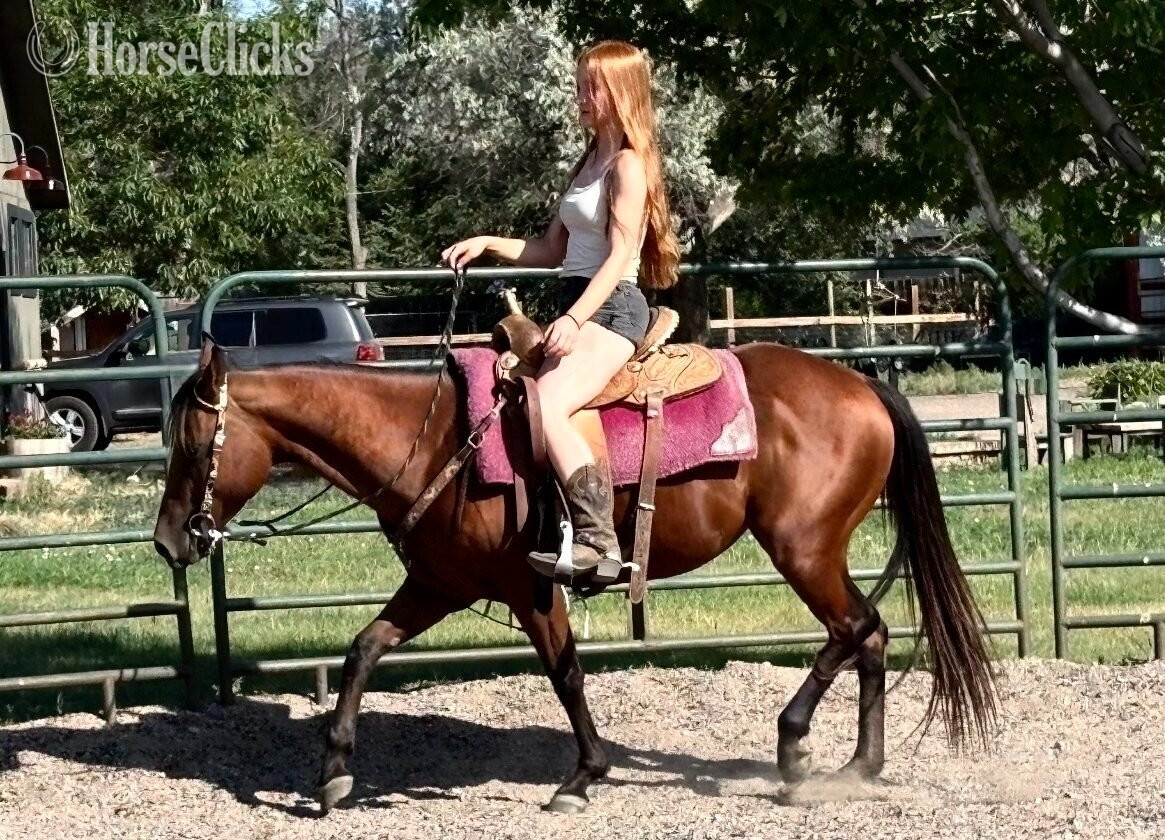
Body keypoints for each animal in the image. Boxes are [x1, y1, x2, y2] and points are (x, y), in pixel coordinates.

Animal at [152, 336, 995, 814]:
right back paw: (858, 765)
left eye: (191, 447)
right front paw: (331, 773)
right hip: (816, 553)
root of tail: (862, 386)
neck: (437, 442)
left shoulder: (529, 587)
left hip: (802, 549)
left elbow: (565, 675)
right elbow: (363, 650)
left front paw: (582, 776)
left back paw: (794, 750)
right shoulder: (440, 584)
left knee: (855, 629)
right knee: (869, 635)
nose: (166, 542)